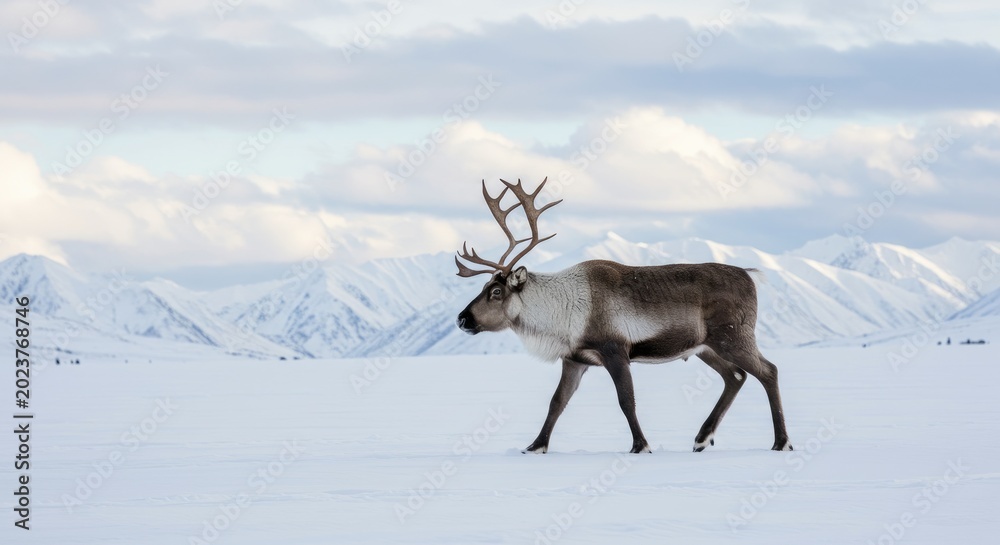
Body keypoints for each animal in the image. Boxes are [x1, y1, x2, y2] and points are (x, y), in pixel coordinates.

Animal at [455, 178, 793, 454]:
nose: (462, 319)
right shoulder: (575, 358)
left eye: (495, 292)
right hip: (704, 347)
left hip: (732, 336)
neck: (559, 312)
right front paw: (535, 446)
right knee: (736, 376)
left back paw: (781, 442)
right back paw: (701, 438)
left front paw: (640, 445)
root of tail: (750, 275)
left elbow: (625, 400)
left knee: (769, 371)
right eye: (484, 287)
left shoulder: (615, 350)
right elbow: (557, 402)